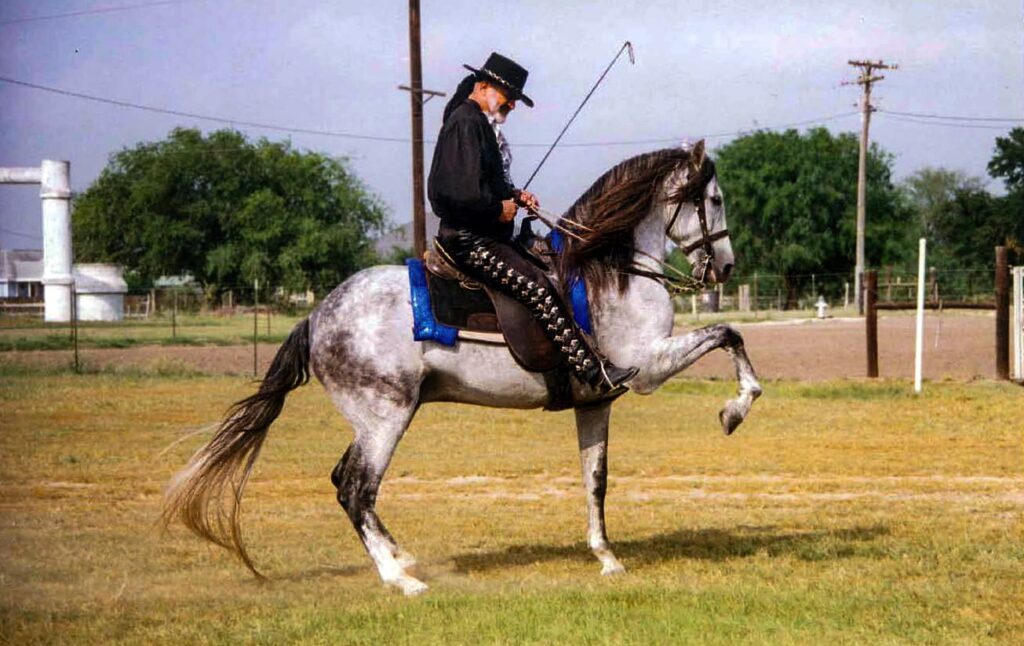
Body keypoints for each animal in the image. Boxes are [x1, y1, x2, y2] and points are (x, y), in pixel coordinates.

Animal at [163, 140, 763, 596]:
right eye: (714, 198)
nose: (726, 266)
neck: (613, 270)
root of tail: (317, 316)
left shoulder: (596, 401)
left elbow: (596, 481)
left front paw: (607, 558)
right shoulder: (648, 366)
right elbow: (729, 334)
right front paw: (735, 409)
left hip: (374, 419)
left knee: (345, 481)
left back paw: (401, 559)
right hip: (386, 417)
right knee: (355, 489)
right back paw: (401, 581)